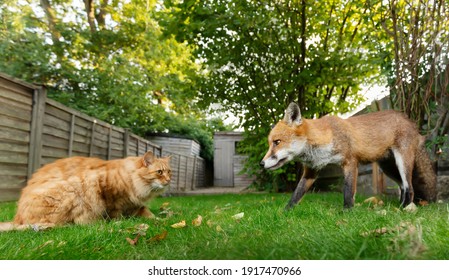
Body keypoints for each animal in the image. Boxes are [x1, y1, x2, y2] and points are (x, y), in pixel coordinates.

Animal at [0, 152, 171, 231]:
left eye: (170, 172)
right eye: (159, 172)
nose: (169, 180)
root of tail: (17, 218)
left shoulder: (135, 204)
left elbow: (150, 214)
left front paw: (162, 220)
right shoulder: (111, 196)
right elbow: (115, 213)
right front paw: (120, 222)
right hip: (76, 188)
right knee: (73, 224)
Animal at [260, 102, 436, 208]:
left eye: (277, 142)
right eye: (270, 143)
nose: (261, 164)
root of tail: (409, 120)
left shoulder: (350, 161)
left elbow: (348, 191)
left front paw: (347, 212)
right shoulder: (311, 171)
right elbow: (296, 195)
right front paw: (285, 213)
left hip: (402, 163)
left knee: (409, 187)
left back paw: (404, 209)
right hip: (388, 168)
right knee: (403, 187)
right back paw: (399, 205)